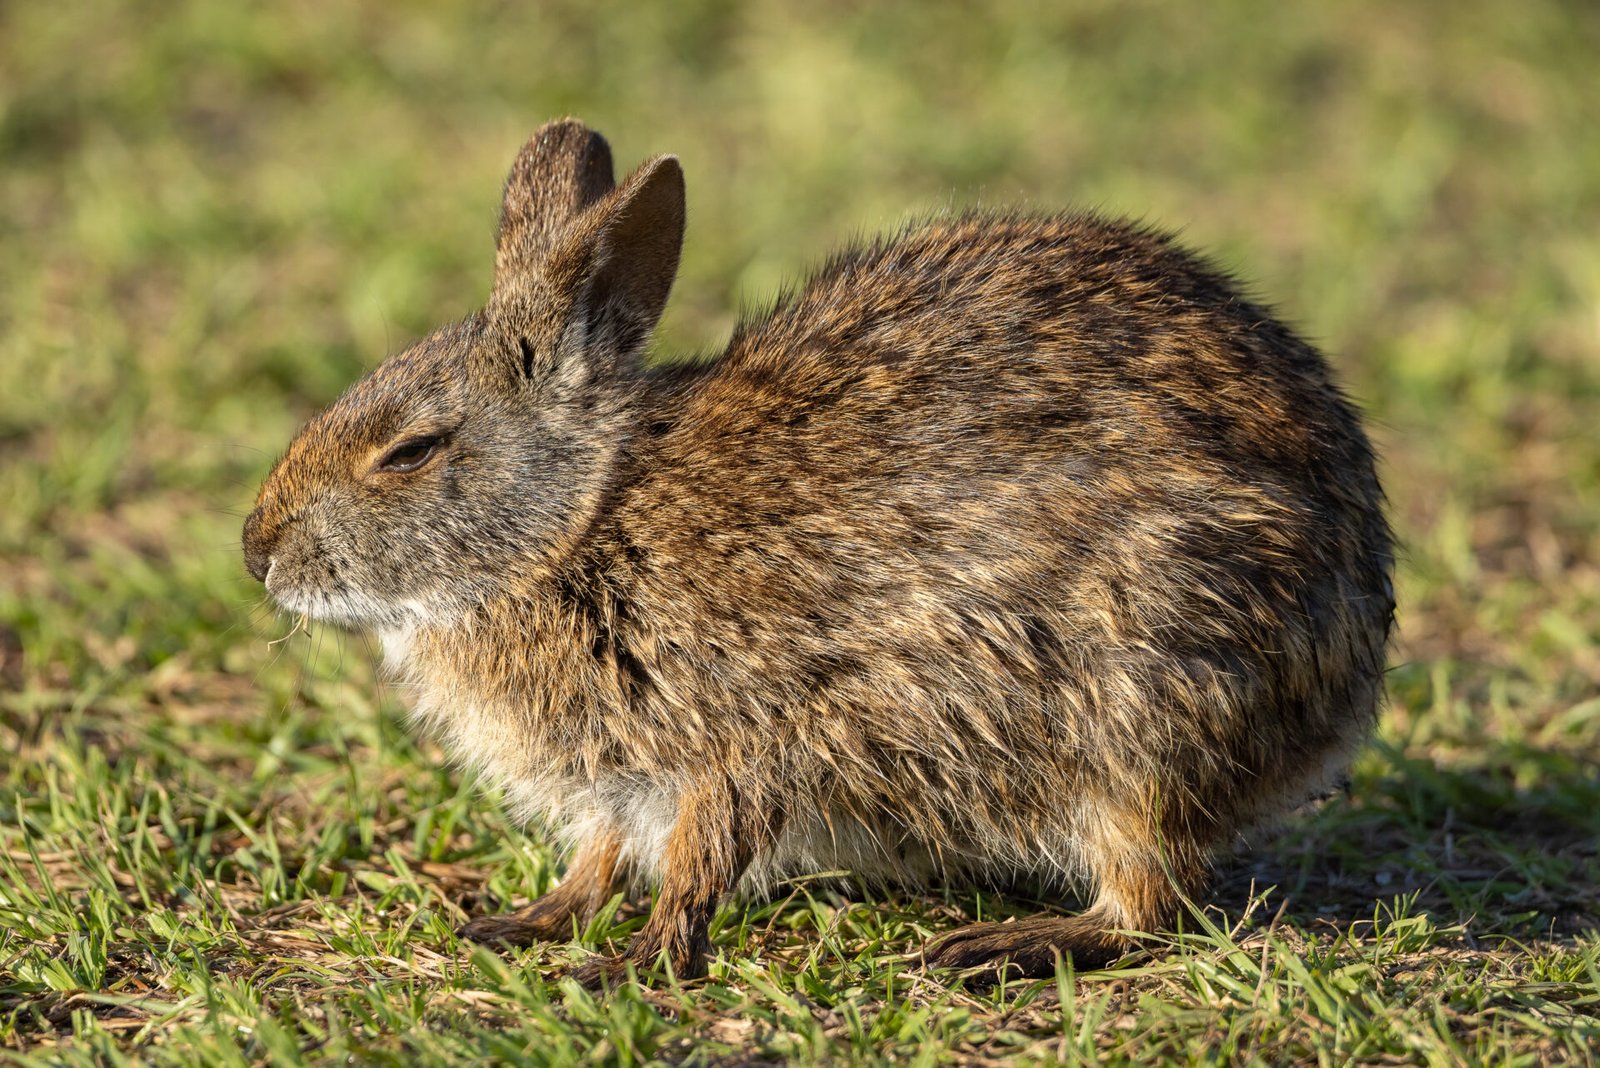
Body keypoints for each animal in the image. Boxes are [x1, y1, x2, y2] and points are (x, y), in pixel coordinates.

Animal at [242, 118, 1394, 987]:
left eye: (411, 451)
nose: (257, 552)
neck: (576, 521)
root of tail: (1349, 670)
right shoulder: (619, 784)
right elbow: (599, 859)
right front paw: (526, 921)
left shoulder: (743, 737)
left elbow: (698, 863)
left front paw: (636, 965)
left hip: (1137, 718)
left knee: (1149, 898)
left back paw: (1000, 944)